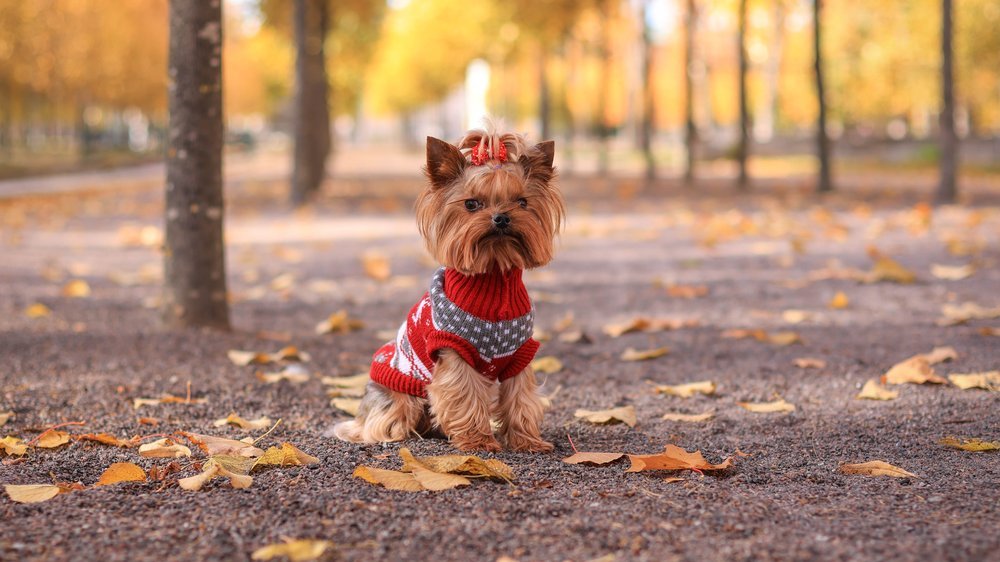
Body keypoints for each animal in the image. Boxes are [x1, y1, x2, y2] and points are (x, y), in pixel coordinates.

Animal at [334, 124, 564, 448]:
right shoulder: (453, 351)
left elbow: (521, 397)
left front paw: (527, 441)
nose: (501, 218)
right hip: (400, 396)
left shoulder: (519, 353)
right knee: (385, 421)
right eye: (471, 204)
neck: (494, 277)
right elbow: (464, 396)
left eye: (522, 202)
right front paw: (478, 442)